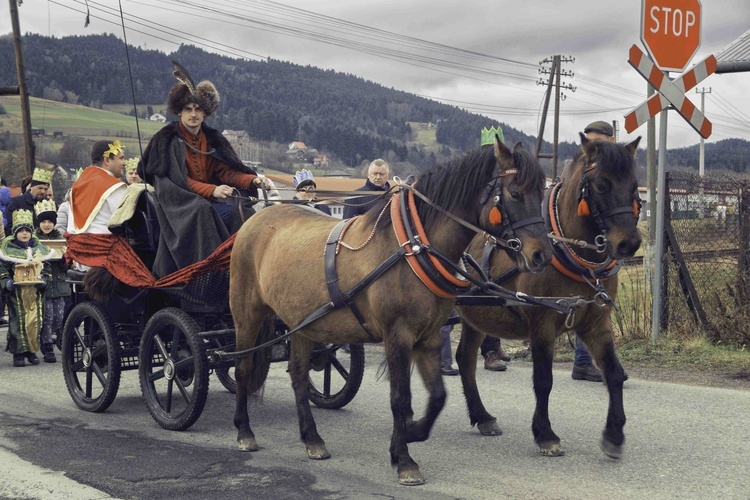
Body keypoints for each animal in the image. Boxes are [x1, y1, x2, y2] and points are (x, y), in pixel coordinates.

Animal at [229, 138, 552, 484]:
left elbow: (438, 396)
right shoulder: (398, 335)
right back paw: (245, 431)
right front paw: (404, 458)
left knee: (299, 376)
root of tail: (256, 218)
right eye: (515, 193)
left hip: (303, 323)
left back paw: (312, 439)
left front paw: (412, 433)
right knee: (243, 369)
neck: (413, 247)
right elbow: (400, 397)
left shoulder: (428, 335)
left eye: (541, 193)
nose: (541, 256)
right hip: (247, 315)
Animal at [456, 135, 644, 458]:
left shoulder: (597, 323)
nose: (629, 244)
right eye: (602, 185)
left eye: (634, 186)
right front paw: (545, 434)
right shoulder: (542, 324)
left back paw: (482, 417)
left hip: (474, 316)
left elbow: (614, 372)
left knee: (465, 359)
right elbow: (543, 380)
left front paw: (614, 433)